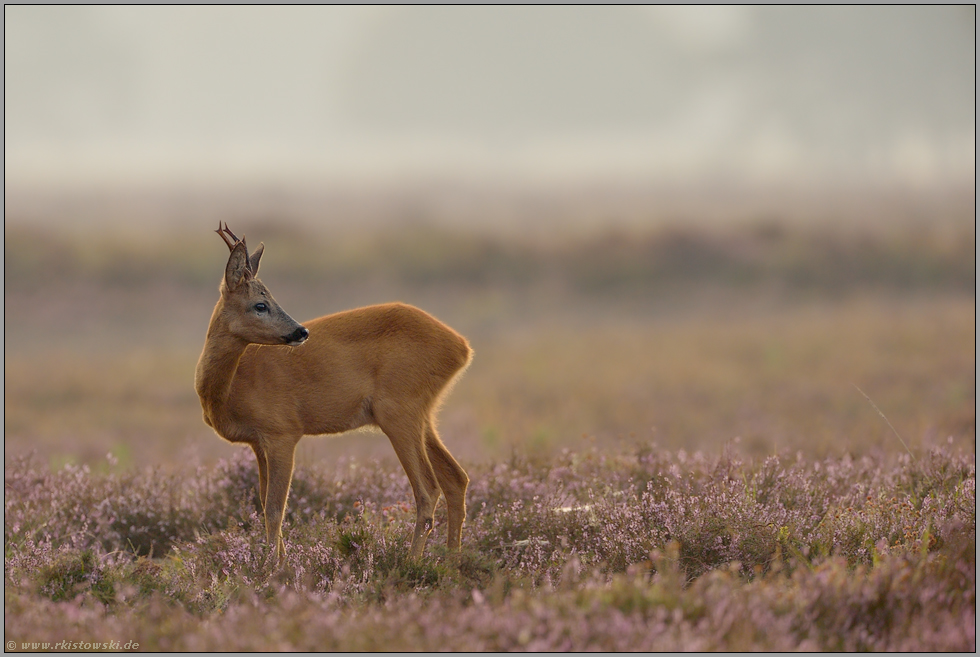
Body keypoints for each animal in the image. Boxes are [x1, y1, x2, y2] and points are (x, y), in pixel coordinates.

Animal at [195, 223, 470, 560]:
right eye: (260, 304)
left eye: (269, 299)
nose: (300, 331)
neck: (229, 390)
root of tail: (462, 348)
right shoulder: (257, 442)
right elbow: (263, 504)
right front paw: (282, 563)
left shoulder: (282, 431)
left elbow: (275, 509)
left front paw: (272, 567)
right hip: (423, 415)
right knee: (456, 478)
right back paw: (452, 560)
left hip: (398, 410)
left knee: (428, 490)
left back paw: (411, 562)